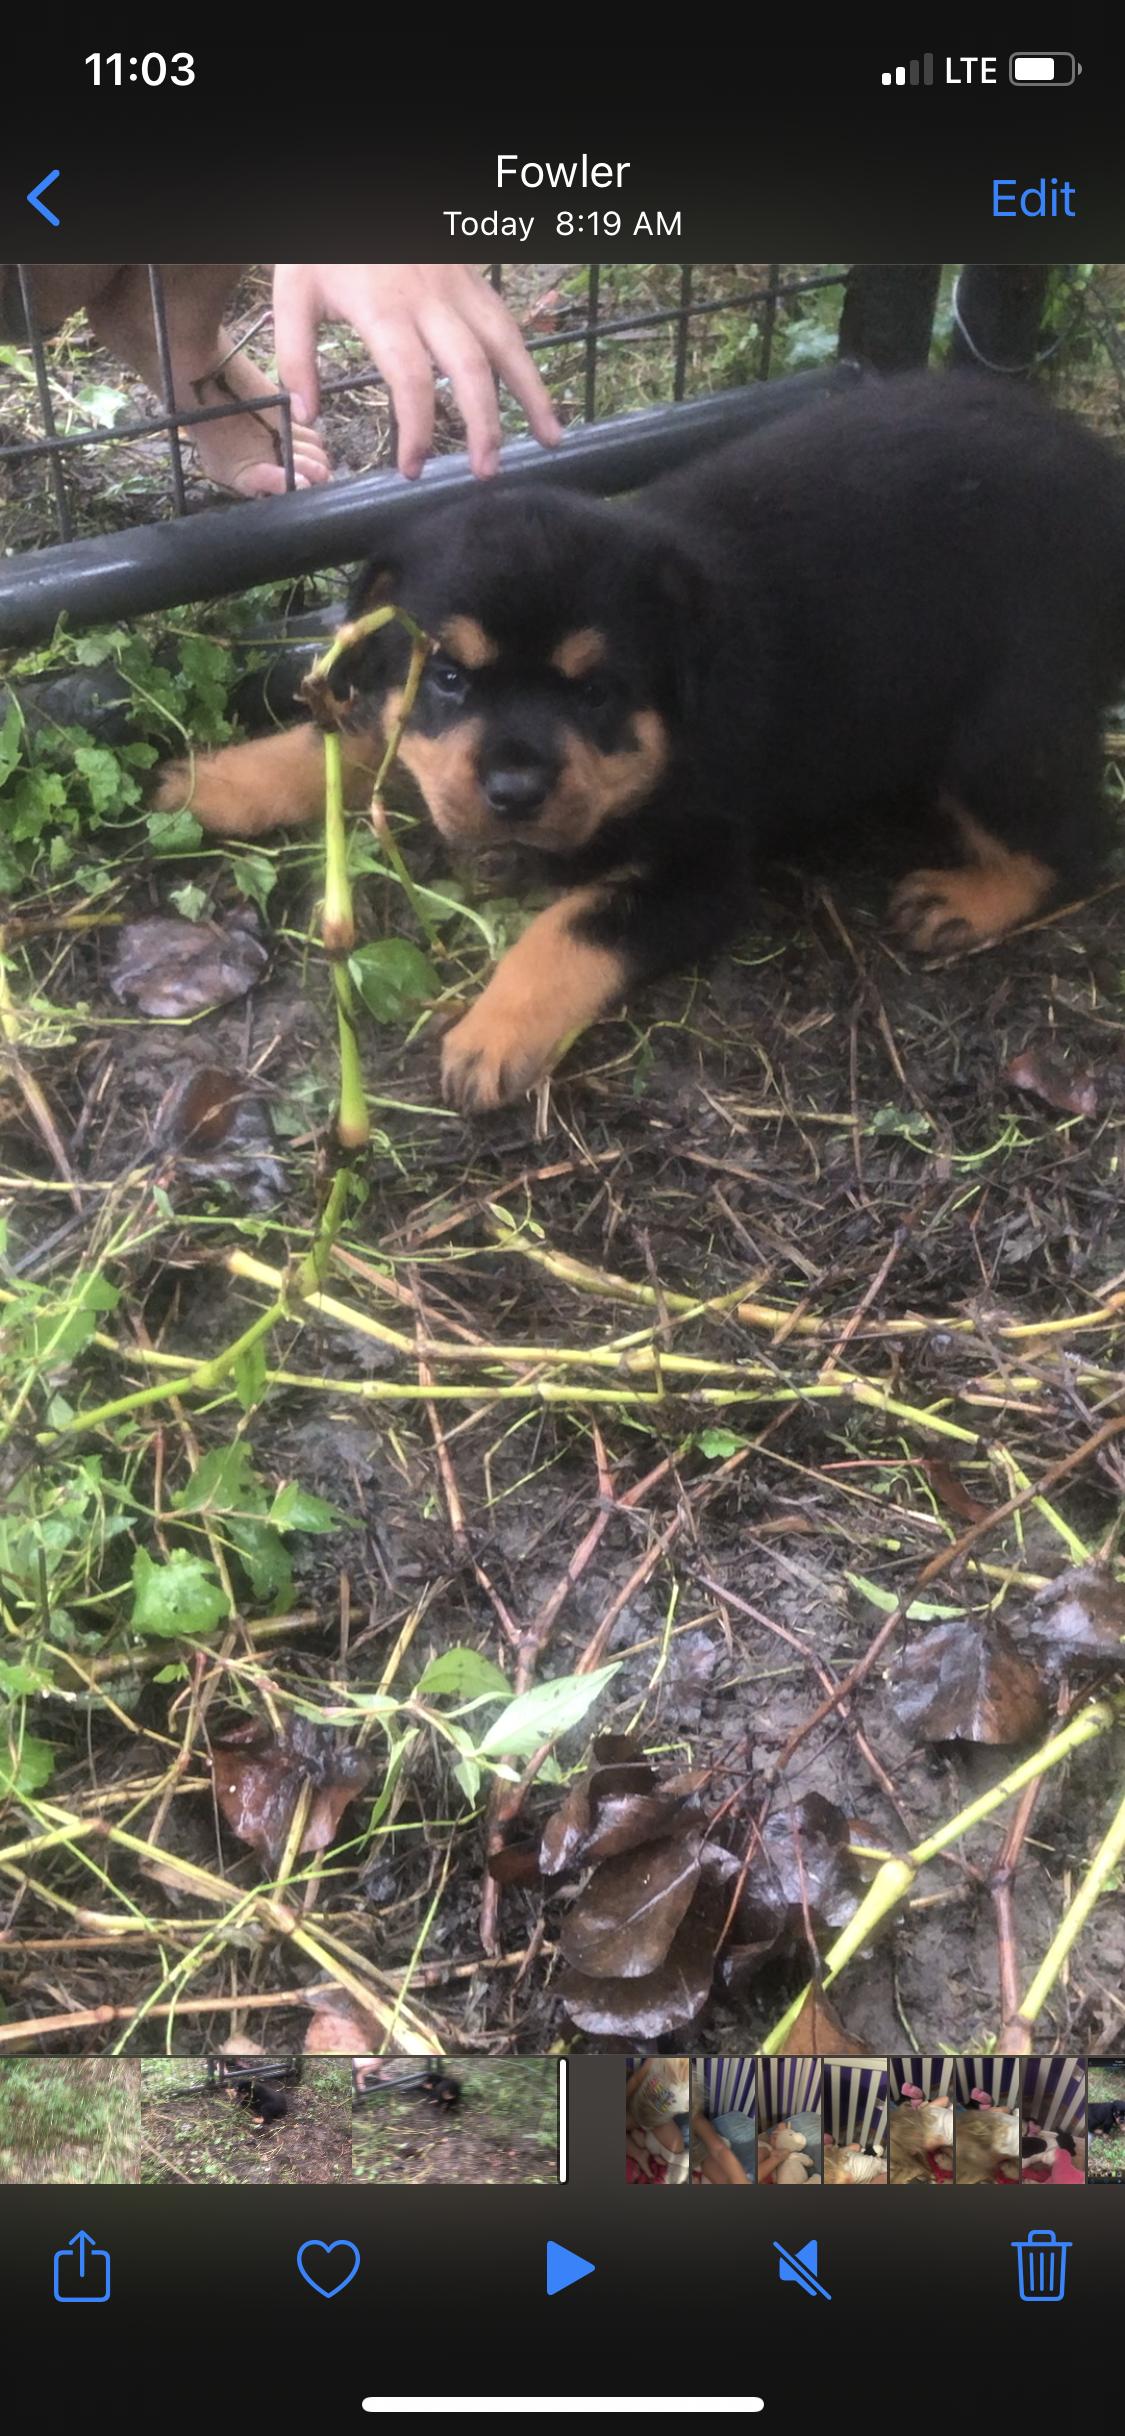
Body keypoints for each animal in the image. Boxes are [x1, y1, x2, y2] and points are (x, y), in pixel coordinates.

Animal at [154, 372, 1125, 1112]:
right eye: (450, 678)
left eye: (595, 694)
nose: (513, 792)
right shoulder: (415, 737)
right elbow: (347, 740)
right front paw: (201, 785)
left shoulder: (699, 872)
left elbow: (570, 927)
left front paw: (489, 1035)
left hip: (1002, 731)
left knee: (1073, 842)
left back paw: (963, 899)